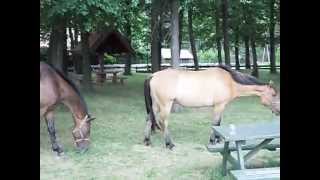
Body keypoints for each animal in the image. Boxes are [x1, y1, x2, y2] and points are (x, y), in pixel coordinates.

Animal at [143, 65, 280, 150]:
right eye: (274, 94)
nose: (278, 111)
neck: (229, 82)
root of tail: (153, 76)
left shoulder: (221, 106)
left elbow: (218, 123)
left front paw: (219, 139)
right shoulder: (219, 106)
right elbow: (215, 123)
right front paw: (213, 140)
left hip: (155, 105)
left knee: (149, 119)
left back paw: (147, 141)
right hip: (165, 105)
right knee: (163, 122)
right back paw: (169, 144)